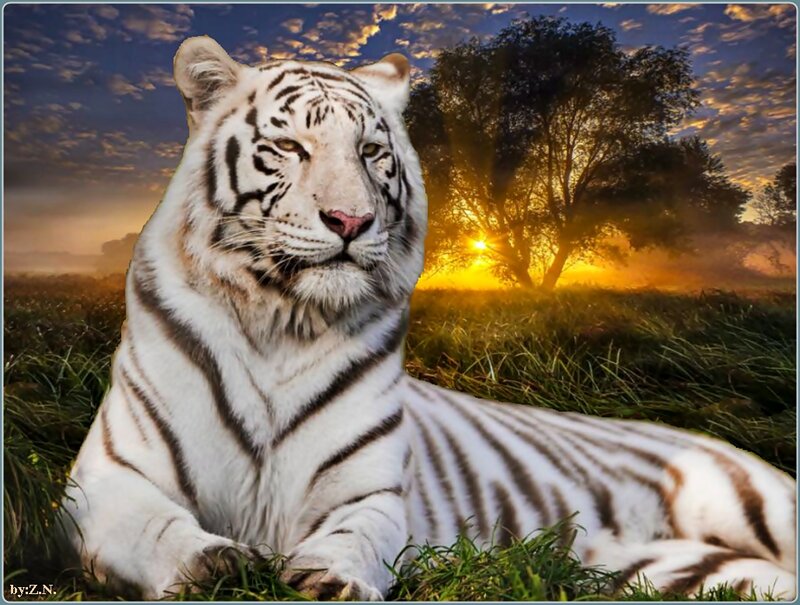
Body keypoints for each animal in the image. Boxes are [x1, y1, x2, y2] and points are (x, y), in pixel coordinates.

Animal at [60, 35, 796, 601]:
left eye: (370, 152)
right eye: (291, 148)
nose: (350, 221)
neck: (281, 320)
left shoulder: (371, 491)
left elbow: (355, 535)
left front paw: (327, 577)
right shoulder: (107, 478)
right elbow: (158, 528)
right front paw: (216, 566)